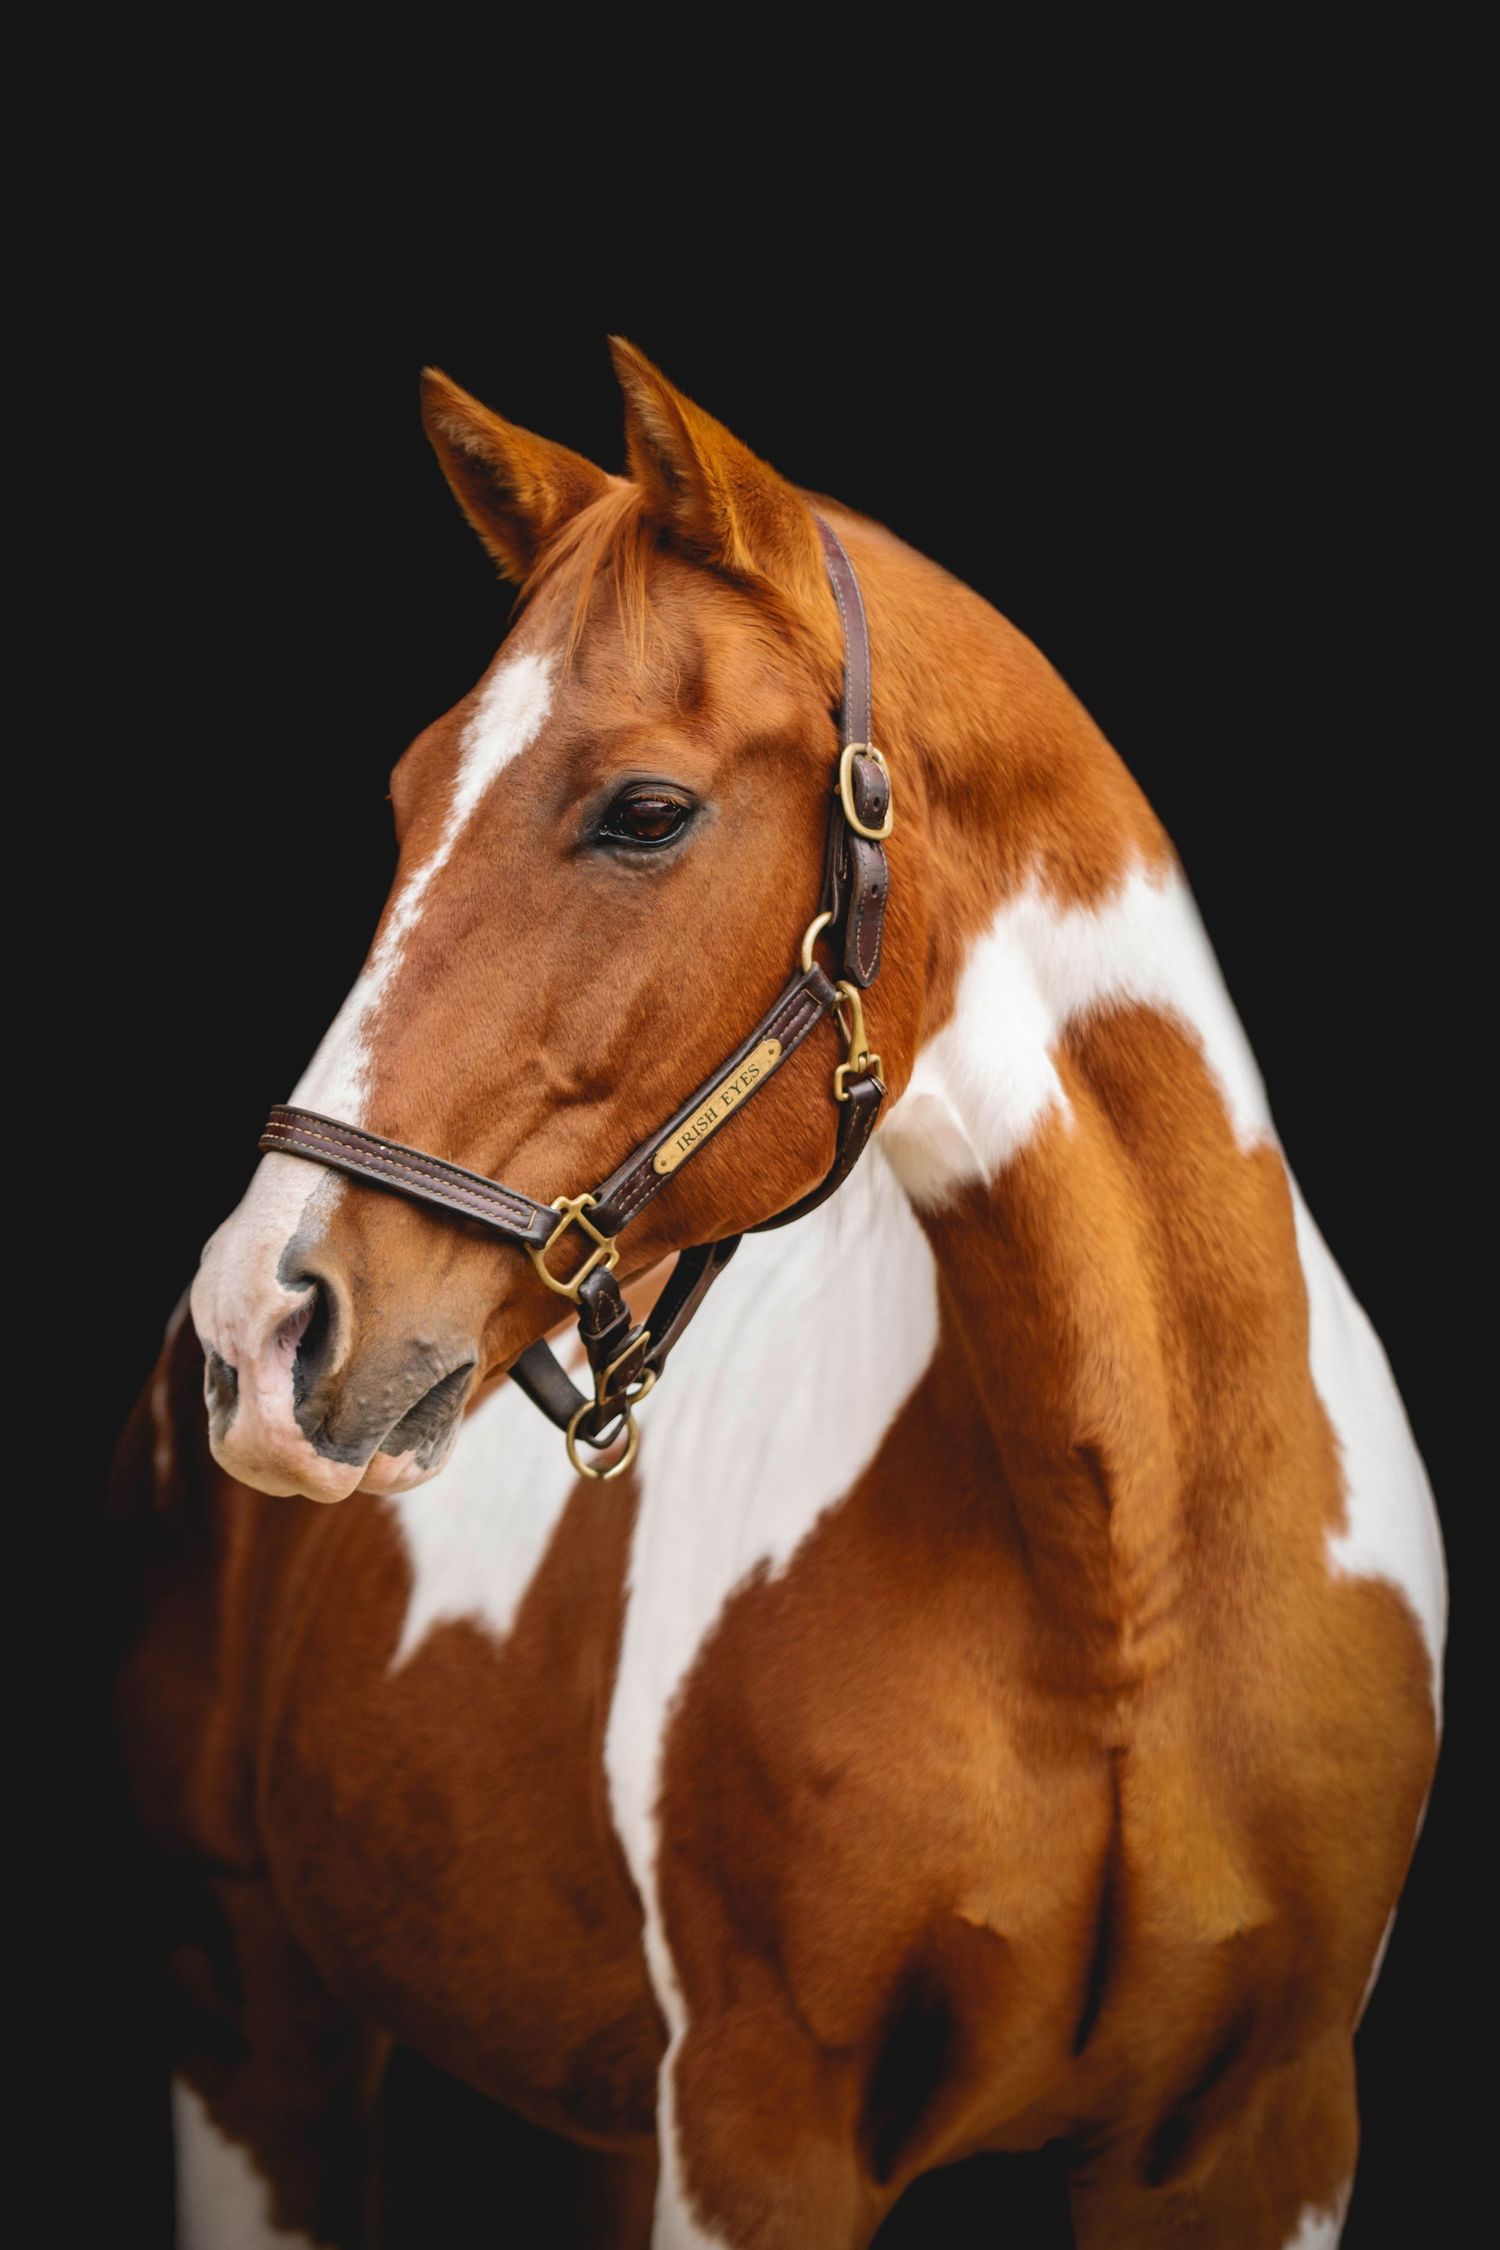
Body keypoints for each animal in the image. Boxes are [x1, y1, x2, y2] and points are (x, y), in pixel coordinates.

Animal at [113, 338, 1445, 2249]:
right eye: (409, 797)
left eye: (647, 810)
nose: (265, 1325)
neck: (1132, 1578)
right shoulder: (759, 2129)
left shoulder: (1262, 2135)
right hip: (248, 2014)